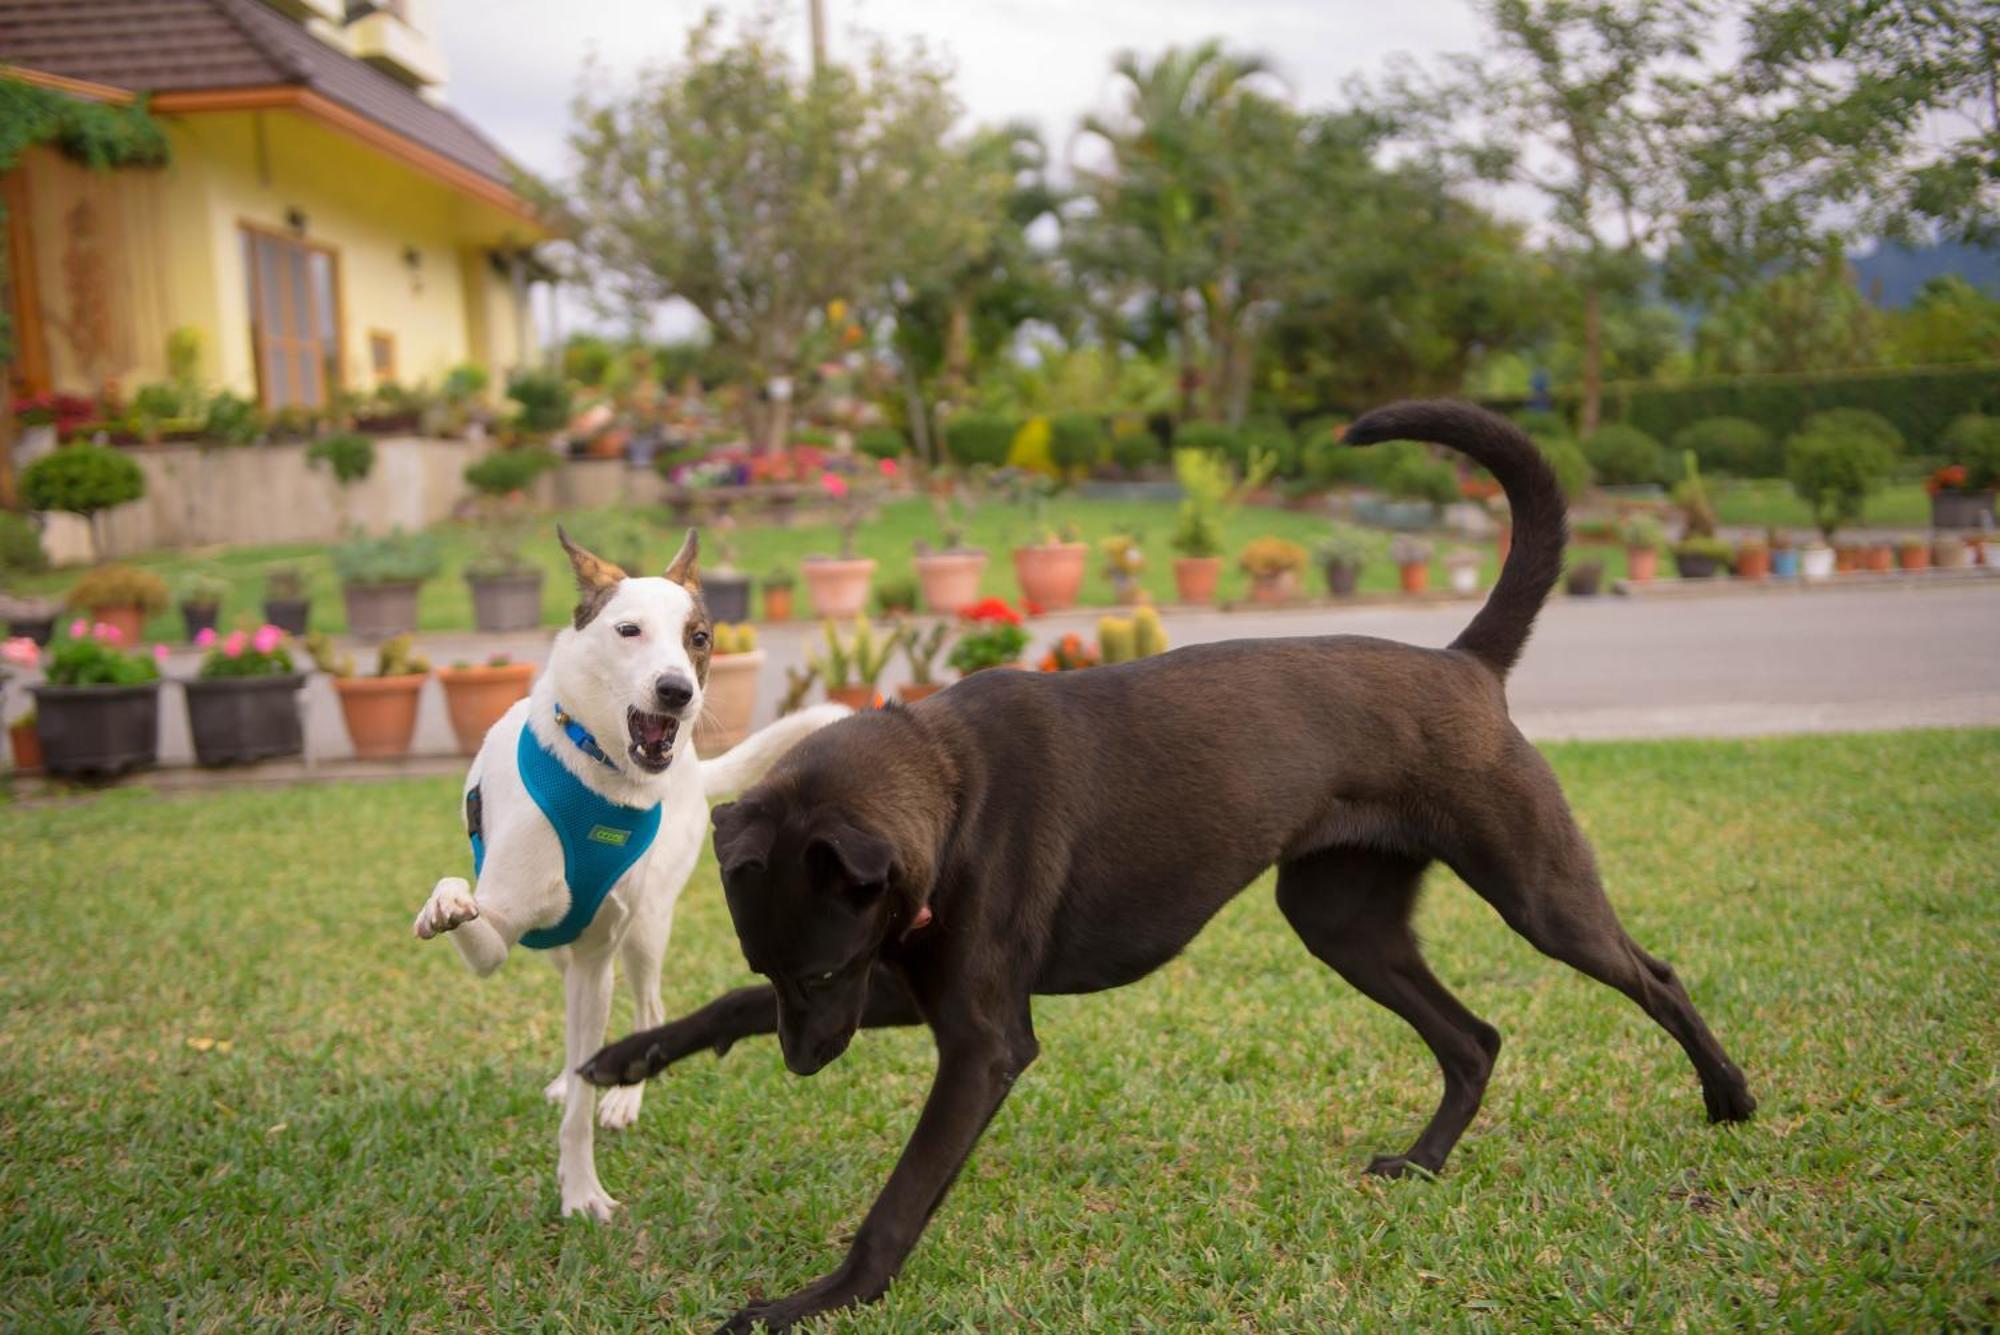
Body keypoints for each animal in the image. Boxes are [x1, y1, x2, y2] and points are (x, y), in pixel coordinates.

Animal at [414, 527, 844, 1223]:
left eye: (699, 637)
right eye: (628, 630)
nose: (677, 692)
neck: (601, 774)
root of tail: (693, 769)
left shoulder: (599, 959)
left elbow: (585, 1099)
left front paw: (581, 1188)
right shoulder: (501, 936)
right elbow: (467, 910)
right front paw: (445, 900)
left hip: (644, 928)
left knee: (648, 1005)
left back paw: (623, 1093)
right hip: (564, 950)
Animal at [580, 401, 1752, 1327]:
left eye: (818, 971)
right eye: (780, 971)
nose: (803, 1065)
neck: (949, 788)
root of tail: (1463, 663)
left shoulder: (978, 1039)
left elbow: (897, 1205)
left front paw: (817, 1300)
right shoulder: (901, 984)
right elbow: (720, 1009)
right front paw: (627, 1056)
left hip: (1534, 888)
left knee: (1652, 975)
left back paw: (1729, 1098)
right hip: (1342, 921)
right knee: (1473, 1038)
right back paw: (1422, 1164)